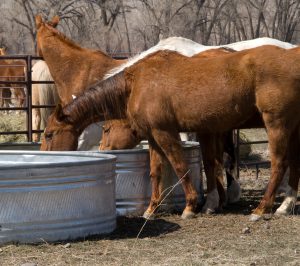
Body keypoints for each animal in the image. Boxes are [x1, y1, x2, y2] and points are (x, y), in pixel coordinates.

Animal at [40, 45, 300, 220]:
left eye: (49, 134)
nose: (47, 154)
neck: (136, 83)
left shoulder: (165, 132)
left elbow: (180, 166)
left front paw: (190, 206)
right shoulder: (153, 136)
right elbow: (156, 171)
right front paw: (151, 208)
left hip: (276, 124)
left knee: (279, 163)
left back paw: (262, 208)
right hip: (291, 127)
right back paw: (285, 205)